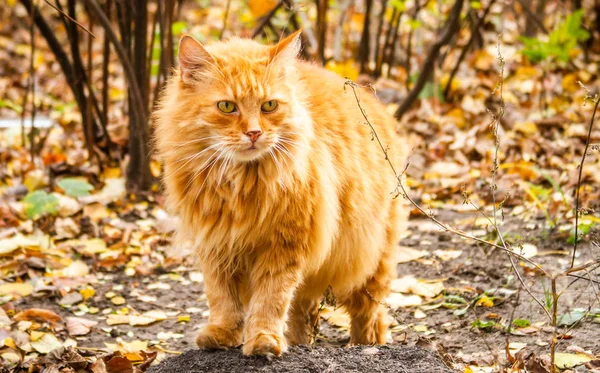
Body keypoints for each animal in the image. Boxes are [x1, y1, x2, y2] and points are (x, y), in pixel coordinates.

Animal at [152, 30, 410, 356]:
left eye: (269, 106)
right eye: (227, 107)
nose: (253, 133)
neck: (239, 185)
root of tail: (374, 102)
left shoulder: (284, 244)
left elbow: (270, 299)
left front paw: (263, 339)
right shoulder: (216, 244)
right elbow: (222, 298)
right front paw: (222, 334)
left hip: (372, 261)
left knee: (369, 314)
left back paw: (366, 345)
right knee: (302, 311)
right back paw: (298, 342)